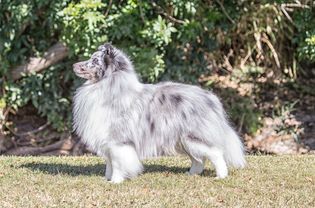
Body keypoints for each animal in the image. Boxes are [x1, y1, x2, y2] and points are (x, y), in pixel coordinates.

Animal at [73, 43, 246, 183]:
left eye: (95, 61)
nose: (74, 65)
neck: (108, 86)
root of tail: (211, 98)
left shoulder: (118, 141)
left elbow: (117, 163)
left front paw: (116, 181)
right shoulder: (107, 141)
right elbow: (109, 163)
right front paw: (107, 179)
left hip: (194, 137)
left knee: (216, 153)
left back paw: (221, 176)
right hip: (182, 140)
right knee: (198, 159)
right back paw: (191, 174)